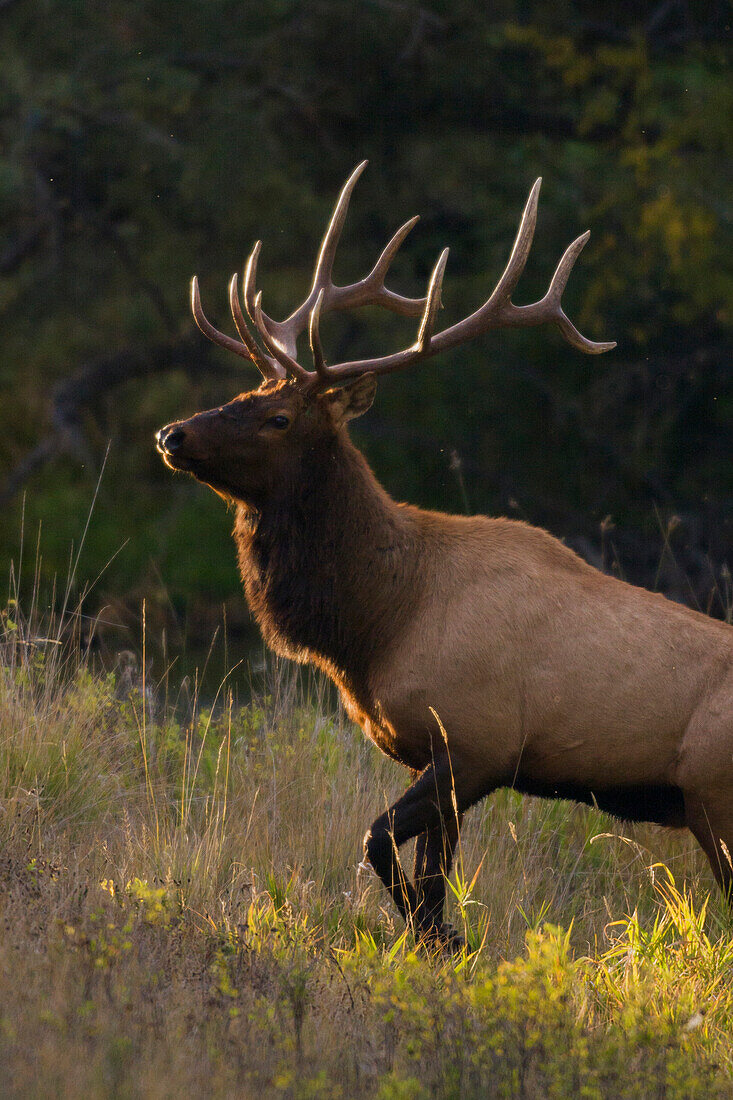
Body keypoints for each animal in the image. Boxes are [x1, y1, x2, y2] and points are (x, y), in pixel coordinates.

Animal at [155, 162, 730, 946]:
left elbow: (379, 846)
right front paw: (439, 941)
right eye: (245, 390)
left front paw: (449, 936)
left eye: (278, 417)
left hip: (713, 792)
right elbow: (426, 879)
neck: (376, 621)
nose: (172, 434)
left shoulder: (478, 742)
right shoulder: (436, 753)